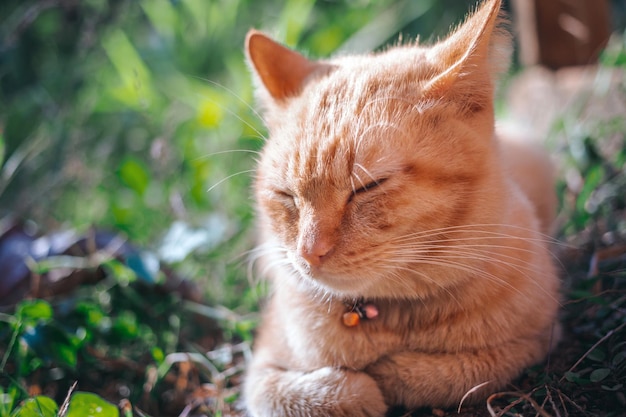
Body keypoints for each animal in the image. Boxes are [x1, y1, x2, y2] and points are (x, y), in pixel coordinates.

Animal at [241, 1, 560, 414]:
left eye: (367, 187)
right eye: (287, 196)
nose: (309, 253)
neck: (388, 316)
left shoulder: (535, 341)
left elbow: (446, 373)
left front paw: (385, 376)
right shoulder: (261, 364)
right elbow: (297, 394)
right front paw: (355, 390)